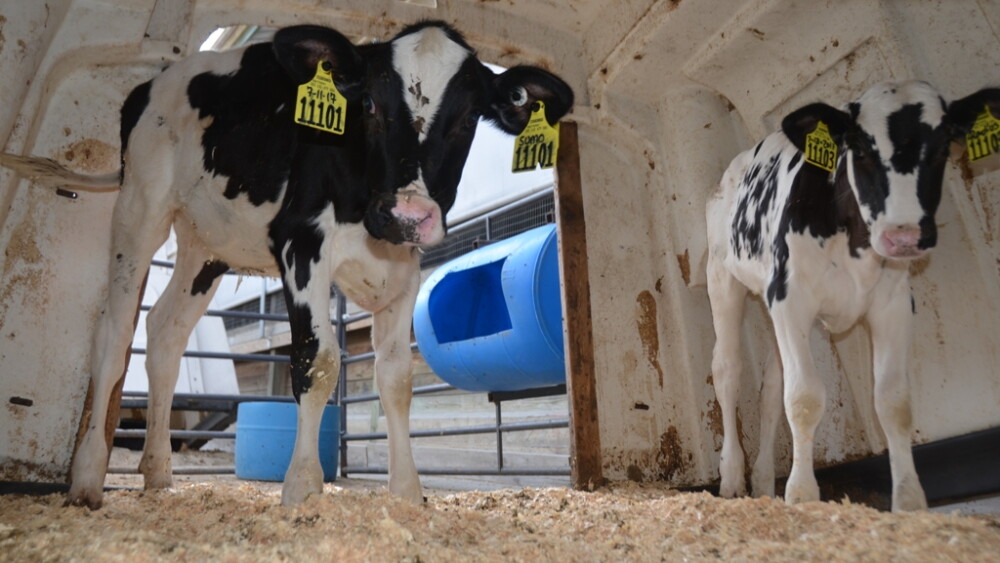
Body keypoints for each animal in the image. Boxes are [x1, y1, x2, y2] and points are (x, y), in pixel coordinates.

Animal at [0, 21, 573, 509]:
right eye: (368, 103)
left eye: (468, 118)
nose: (405, 213)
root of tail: (150, 85)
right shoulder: (301, 243)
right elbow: (317, 362)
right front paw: (302, 487)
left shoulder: (406, 267)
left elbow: (396, 379)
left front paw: (408, 493)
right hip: (141, 208)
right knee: (117, 335)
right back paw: (87, 478)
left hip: (206, 246)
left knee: (164, 333)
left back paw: (158, 473)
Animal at [705, 80, 999, 512]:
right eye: (858, 148)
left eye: (944, 145)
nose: (904, 236)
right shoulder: (791, 299)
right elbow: (805, 397)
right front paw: (803, 495)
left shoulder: (893, 306)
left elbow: (894, 403)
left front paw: (909, 502)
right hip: (721, 275)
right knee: (727, 368)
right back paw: (730, 477)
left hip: (770, 302)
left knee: (772, 387)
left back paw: (762, 481)